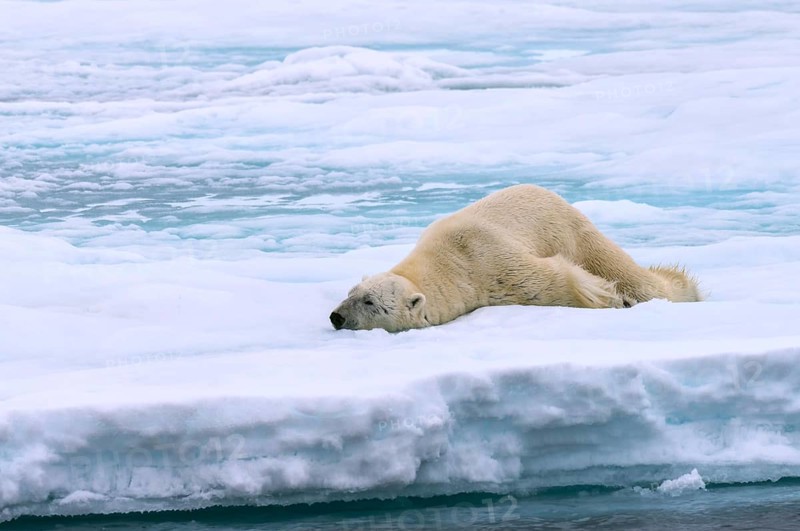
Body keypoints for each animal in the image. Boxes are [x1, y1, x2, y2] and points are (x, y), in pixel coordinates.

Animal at [330, 184, 701, 332]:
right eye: (350, 293)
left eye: (370, 302)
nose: (336, 316)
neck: (442, 260)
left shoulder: (487, 262)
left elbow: (555, 279)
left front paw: (605, 296)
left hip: (572, 229)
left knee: (622, 270)